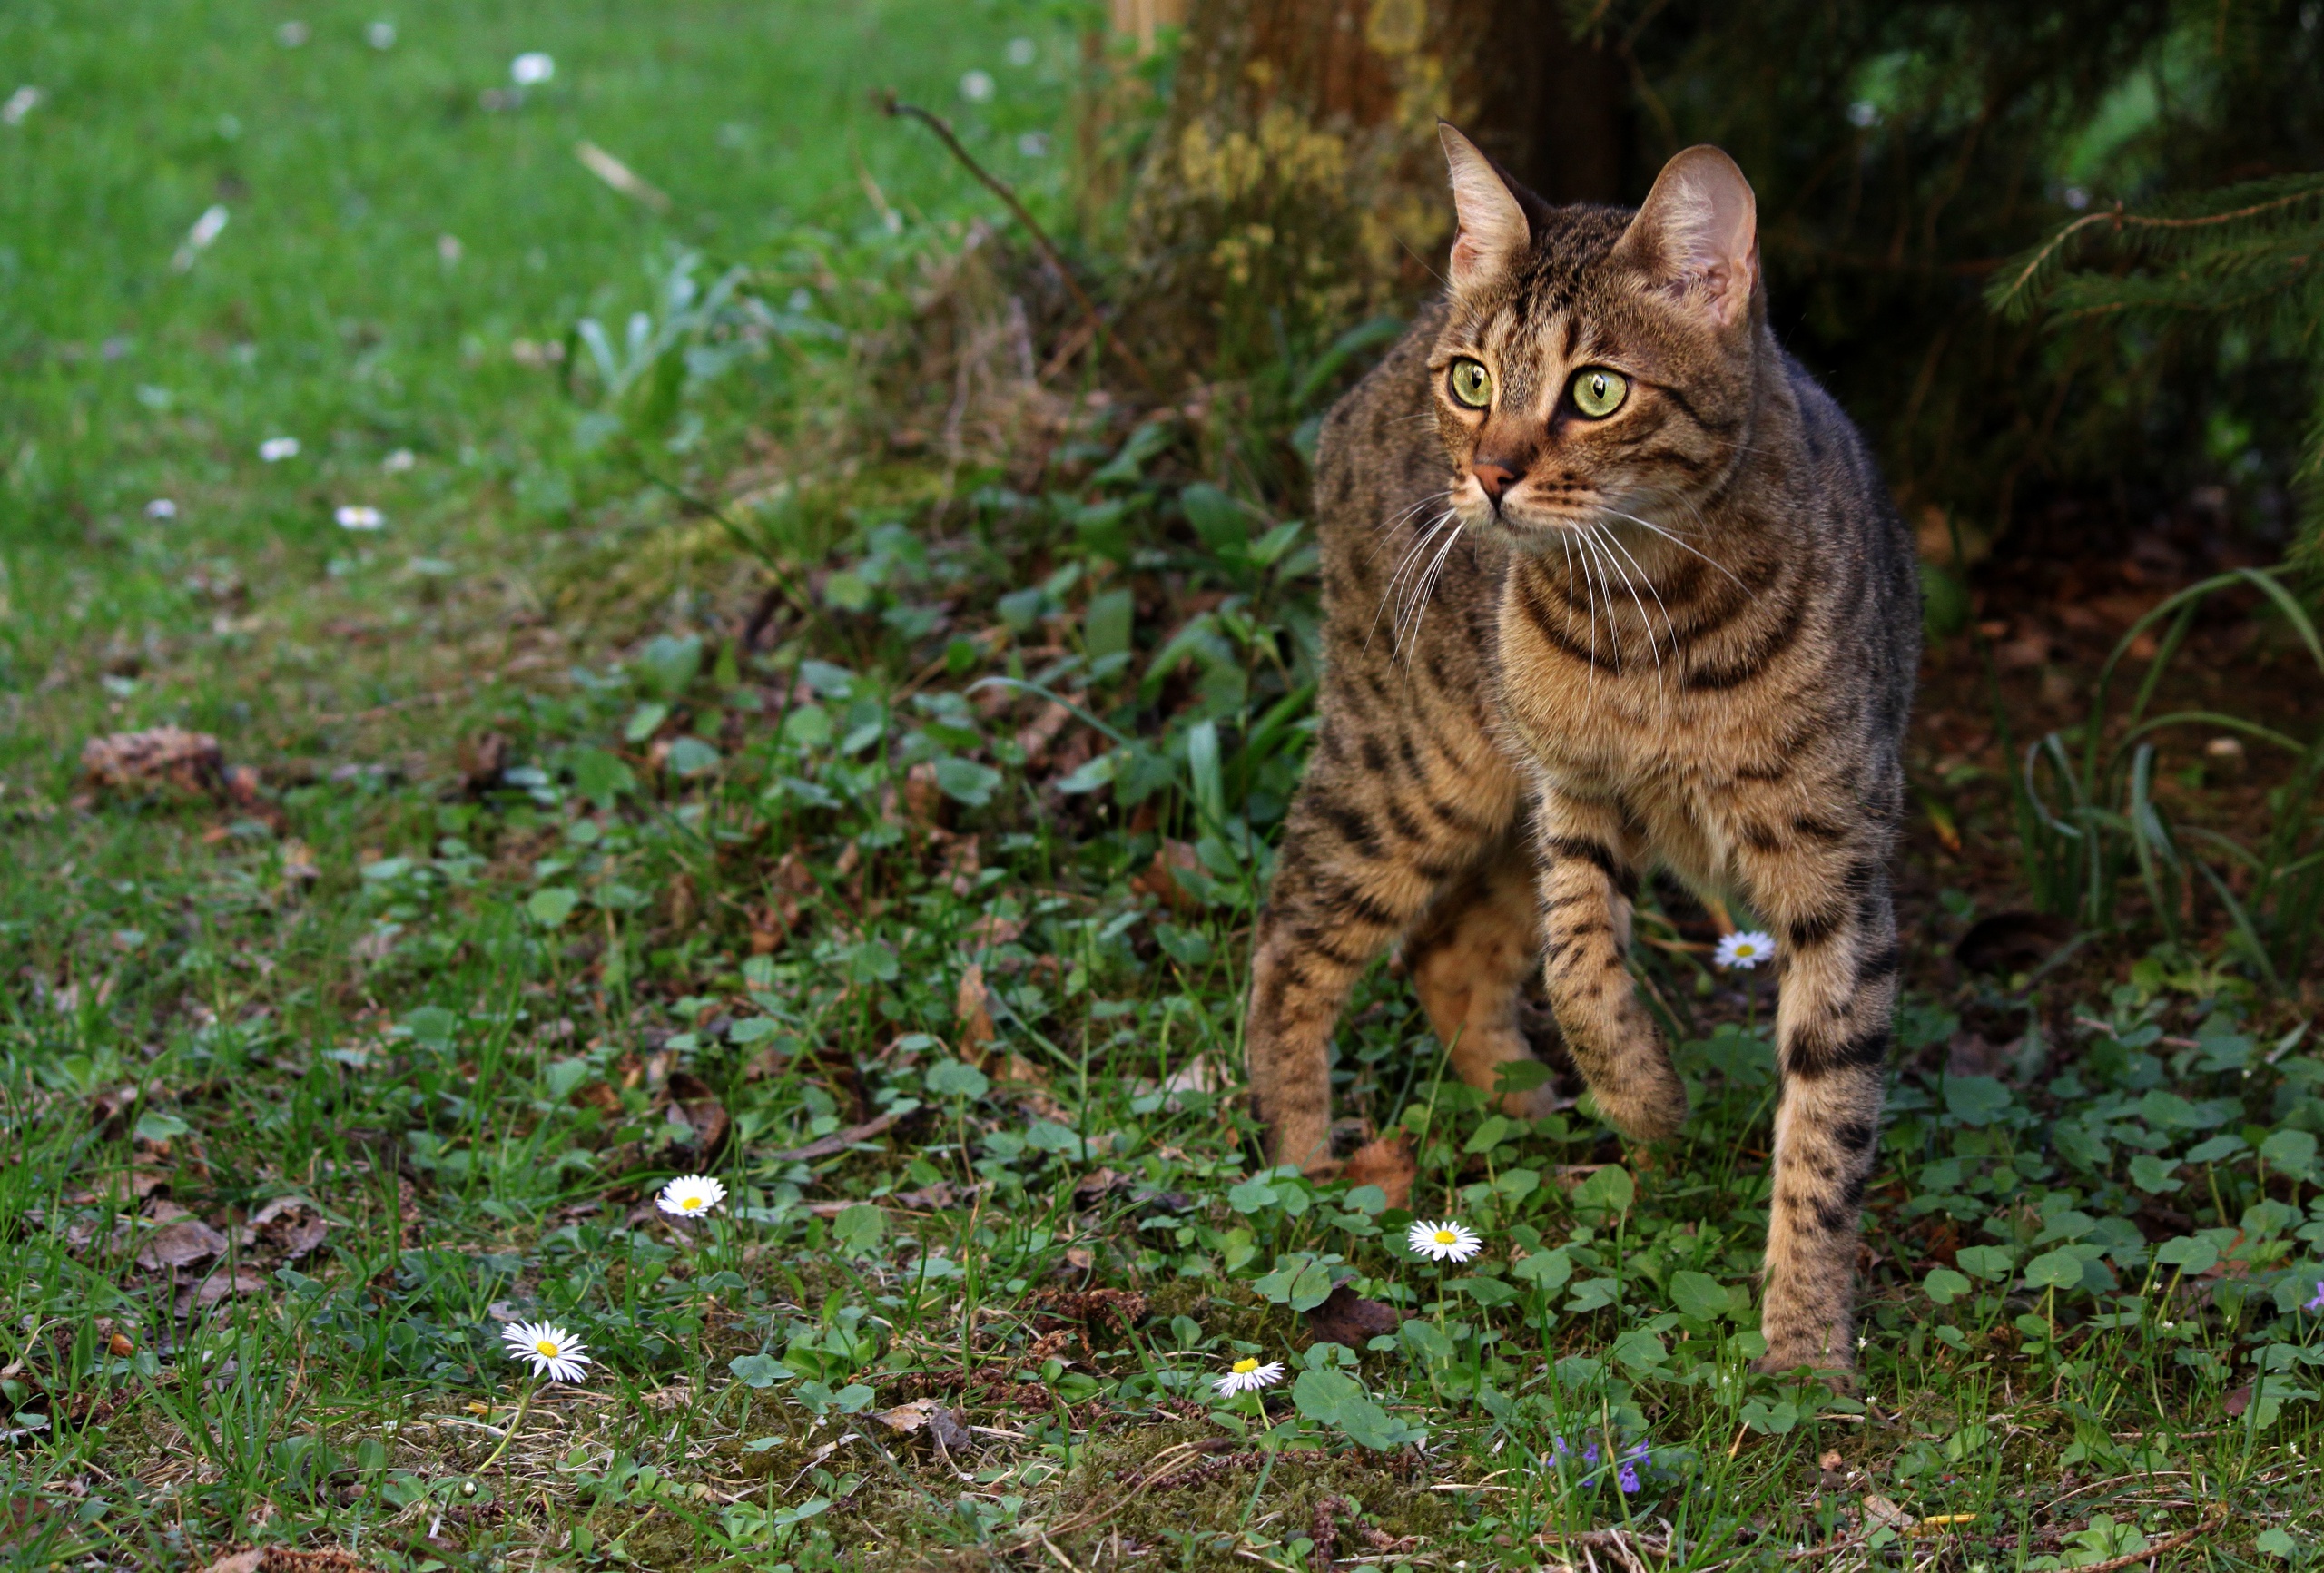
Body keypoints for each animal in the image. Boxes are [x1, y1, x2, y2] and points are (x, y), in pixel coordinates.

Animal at [1246, 125, 1915, 1375]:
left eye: (1595, 390)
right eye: (1473, 381)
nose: (1491, 473)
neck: (1662, 622)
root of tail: (1380, 357)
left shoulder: (1838, 872)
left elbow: (1826, 1123)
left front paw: (1805, 1347)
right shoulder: (1573, 797)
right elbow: (1579, 967)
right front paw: (1648, 1096)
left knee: (1444, 956)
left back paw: (1522, 1117)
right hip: (1413, 760)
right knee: (1291, 933)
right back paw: (1302, 1160)